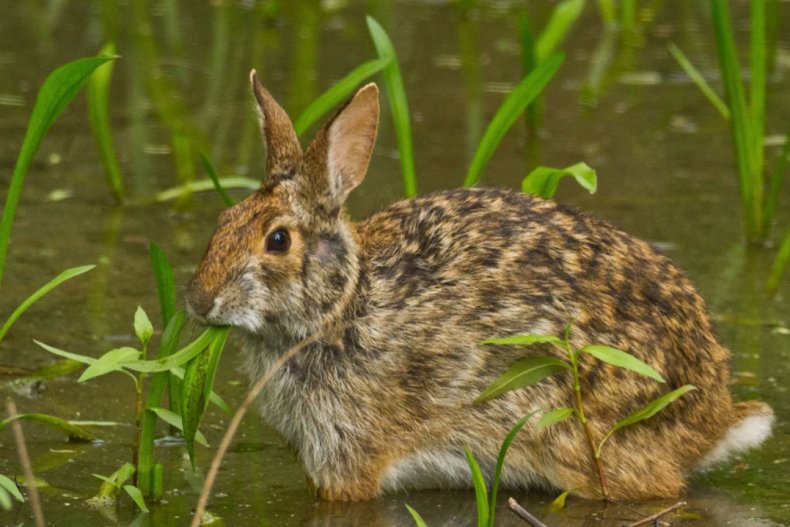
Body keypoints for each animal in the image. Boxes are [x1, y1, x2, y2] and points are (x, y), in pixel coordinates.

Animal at [189, 71, 776, 504]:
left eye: (278, 240)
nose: (198, 300)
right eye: (223, 220)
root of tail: (713, 416)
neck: (340, 308)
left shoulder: (349, 455)